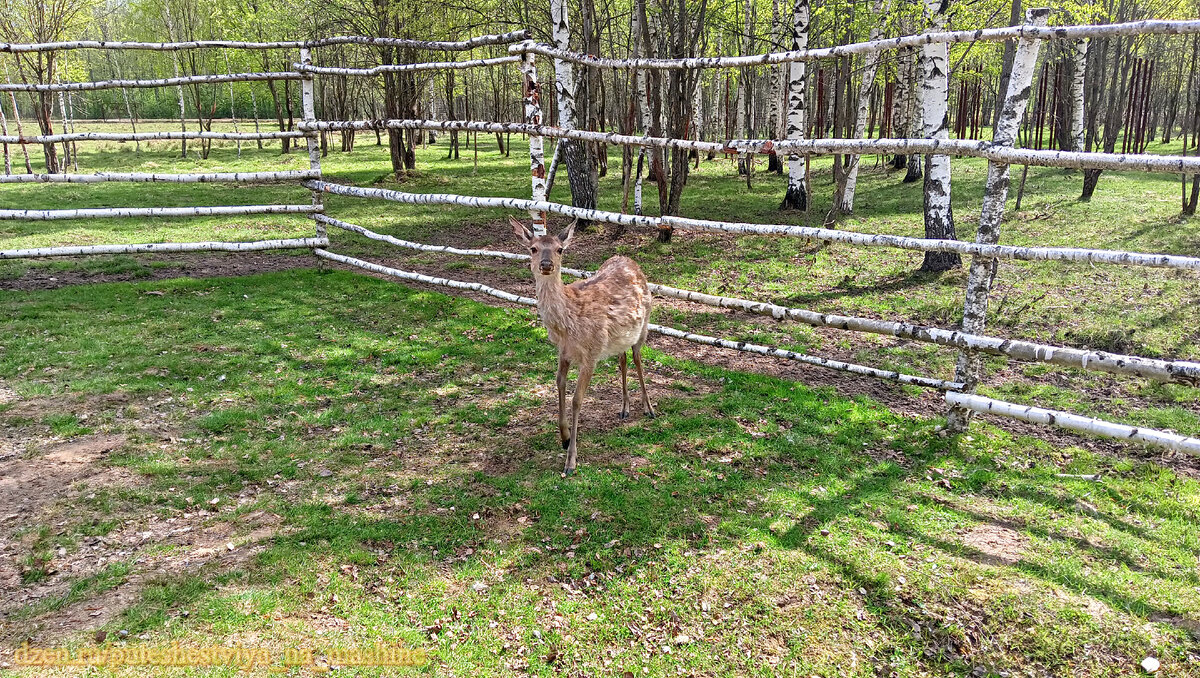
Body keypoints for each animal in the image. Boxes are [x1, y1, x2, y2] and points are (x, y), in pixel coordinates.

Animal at [508, 217, 657, 475]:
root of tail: (628, 259)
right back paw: (625, 408)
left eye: (560, 249)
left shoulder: (592, 352)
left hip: (644, 324)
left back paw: (648, 408)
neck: (567, 325)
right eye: (533, 248)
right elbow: (559, 383)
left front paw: (571, 460)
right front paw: (564, 436)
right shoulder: (563, 351)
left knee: (637, 358)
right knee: (622, 358)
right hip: (619, 337)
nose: (546, 264)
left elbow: (577, 399)